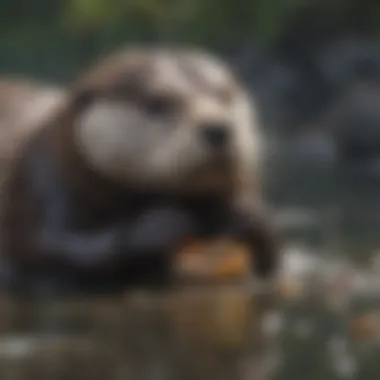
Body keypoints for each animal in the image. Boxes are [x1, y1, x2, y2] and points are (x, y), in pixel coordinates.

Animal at [0, 46, 280, 296]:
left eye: (224, 95)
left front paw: (244, 216)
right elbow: (54, 246)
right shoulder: (41, 184)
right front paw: (163, 224)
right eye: (157, 103)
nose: (218, 128)